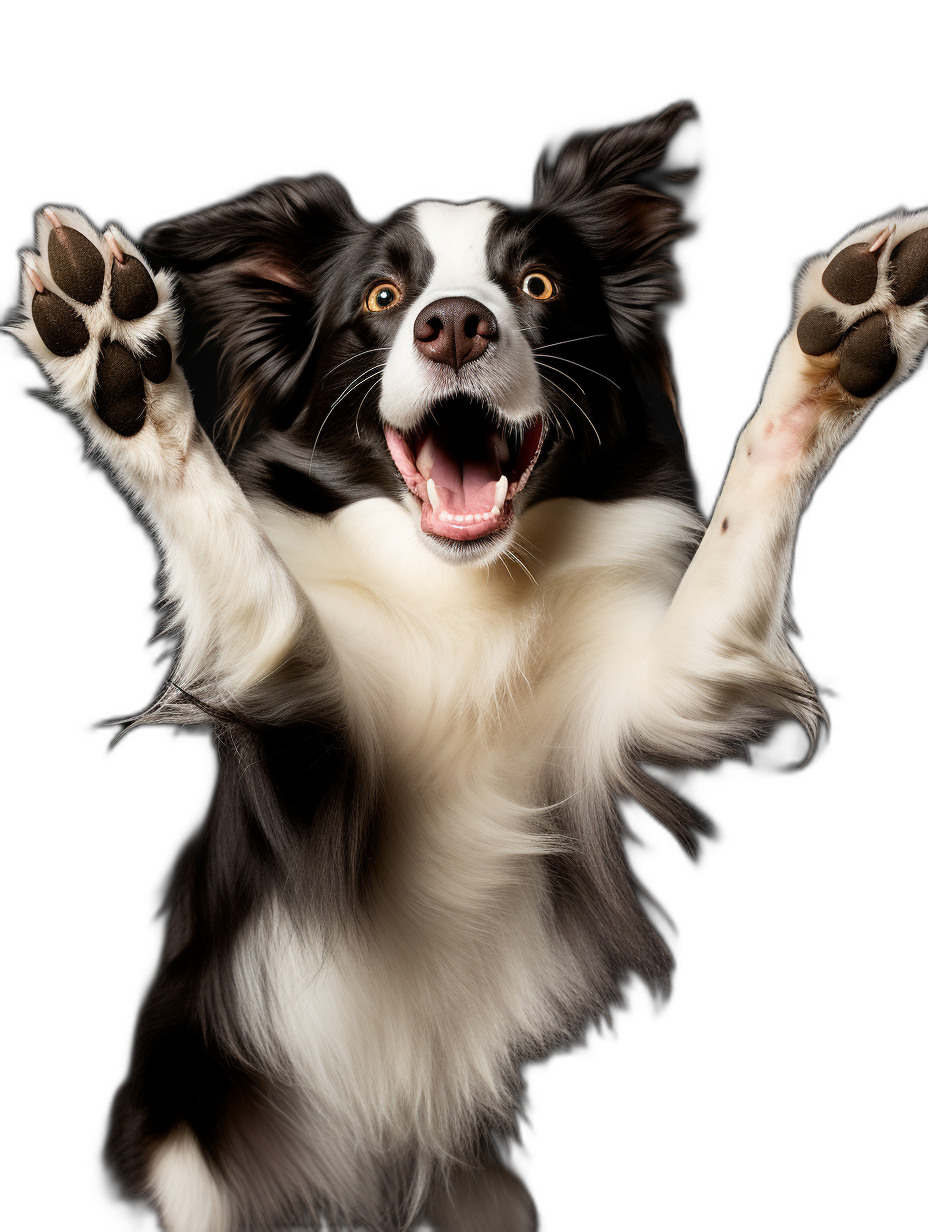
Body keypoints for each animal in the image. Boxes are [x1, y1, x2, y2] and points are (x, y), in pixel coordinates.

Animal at [14, 101, 926, 1227]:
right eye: (382, 297)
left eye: (535, 285)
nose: (453, 323)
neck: (465, 602)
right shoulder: (299, 746)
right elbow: (264, 587)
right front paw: (123, 365)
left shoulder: (655, 708)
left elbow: (732, 543)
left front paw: (832, 350)